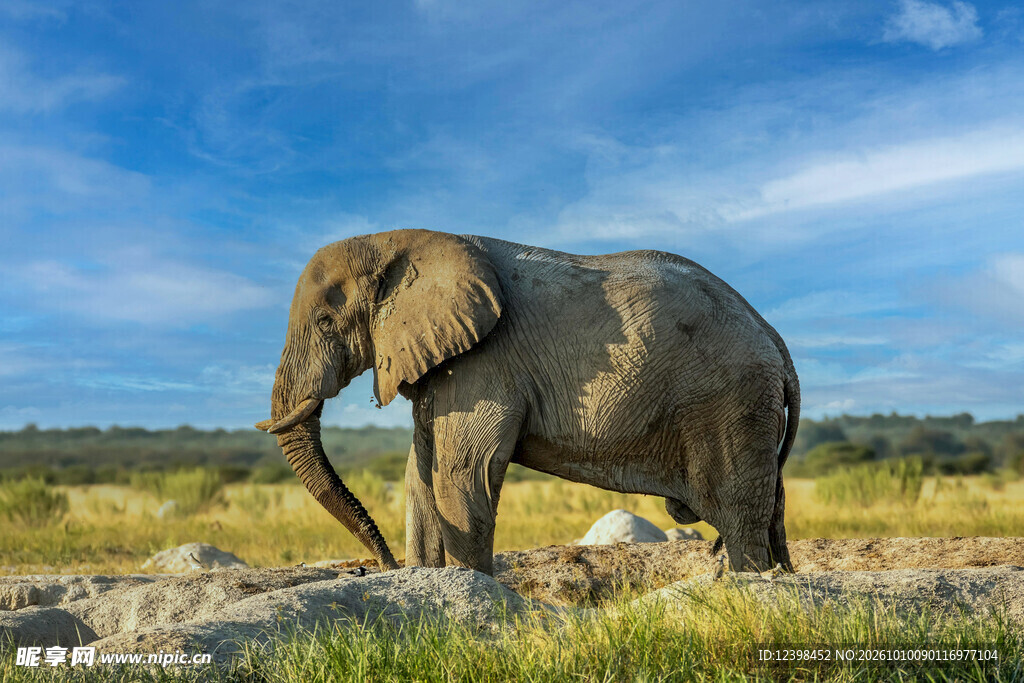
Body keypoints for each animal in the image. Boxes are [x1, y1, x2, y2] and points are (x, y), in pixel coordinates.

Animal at [256, 229, 799, 575]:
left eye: (325, 322)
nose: (379, 567)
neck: (394, 241)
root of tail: (774, 338)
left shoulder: (485, 360)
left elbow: (462, 473)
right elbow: (420, 475)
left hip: (730, 403)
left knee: (742, 519)